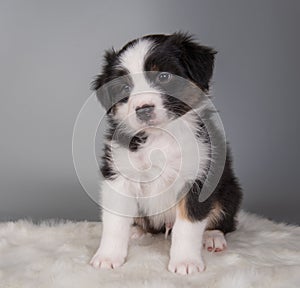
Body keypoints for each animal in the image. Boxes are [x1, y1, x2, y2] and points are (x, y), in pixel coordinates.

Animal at [90, 31, 243, 274]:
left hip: (229, 190)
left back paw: (213, 237)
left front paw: (185, 262)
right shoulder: (119, 175)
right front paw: (107, 256)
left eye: (163, 76)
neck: (160, 137)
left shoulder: (198, 176)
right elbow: (114, 222)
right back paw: (137, 230)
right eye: (125, 88)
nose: (143, 109)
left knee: (224, 221)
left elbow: (188, 225)